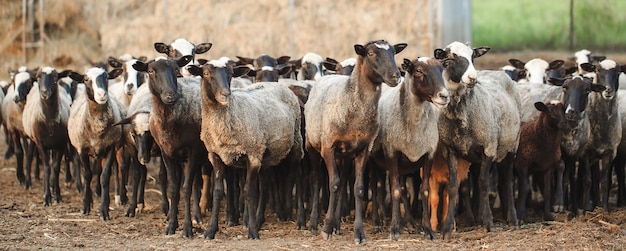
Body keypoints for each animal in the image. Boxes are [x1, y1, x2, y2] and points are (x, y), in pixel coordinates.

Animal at [21, 66, 72, 206]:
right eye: (38, 77)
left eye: (55, 77)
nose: (44, 93)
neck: (50, 123)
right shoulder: (40, 143)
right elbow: (47, 167)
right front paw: (46, 197)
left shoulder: (60, 144)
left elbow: (55, 167)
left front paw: (57, 195)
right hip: (33, 139)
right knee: (29, 156)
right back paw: (28, 183)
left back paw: (53, 187)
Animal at [67, 66, 125, 220]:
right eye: (86, 79)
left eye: (106, 77)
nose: (101, 95)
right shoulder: (82, 149)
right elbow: (87, 175)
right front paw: (85, 206)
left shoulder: (111, 147)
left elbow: (105, 177)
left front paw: (104, 210)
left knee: (116, 168)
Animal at [132, 55, 207, 237]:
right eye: (151, 71)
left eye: (175, 69)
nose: (170, 95)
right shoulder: (167, 153)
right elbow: (173, 188)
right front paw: (172, 225)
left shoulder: (194, 152)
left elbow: (186, 188)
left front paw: (187, 228)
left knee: (196, 184)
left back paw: (197, 217)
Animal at [366, 56, 448, 239]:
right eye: (418, 71)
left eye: (441, 69)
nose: (444, 96)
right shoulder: (391, 153)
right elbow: (395, 190)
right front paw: (394, 229)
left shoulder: (428, 154)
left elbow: (424, 191)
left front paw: (428, 230)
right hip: (372, 158)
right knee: (375, 187)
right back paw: (377, 223)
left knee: (403, 189)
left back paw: (410, 223)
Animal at [432, 41, 520, 237]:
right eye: (450, 58)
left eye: (472, 57)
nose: (472, 78)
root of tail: (497, 72)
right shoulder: (450, 150)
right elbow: (453, 186)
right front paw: (447, 228)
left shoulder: (488, 148)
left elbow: (484, 183)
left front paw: (488, 223)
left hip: (511, 147)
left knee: (507, 181)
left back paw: (512, 219)